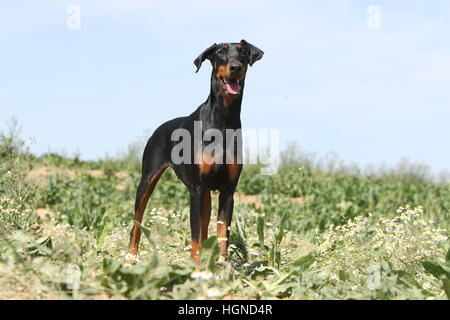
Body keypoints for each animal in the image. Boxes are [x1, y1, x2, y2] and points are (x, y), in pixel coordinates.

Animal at [127, 40, 264, 264]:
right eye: (221, 52)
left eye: (243, 52)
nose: (236, 67)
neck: (223, 118)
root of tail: (158, 128)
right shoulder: (196, 189)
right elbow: (195, 235)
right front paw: (196, 266)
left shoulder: (228, 191)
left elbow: (222, 234)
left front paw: (222, 265)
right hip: (147, 180)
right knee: (137, 223)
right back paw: (131, 256)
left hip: (206, 192)